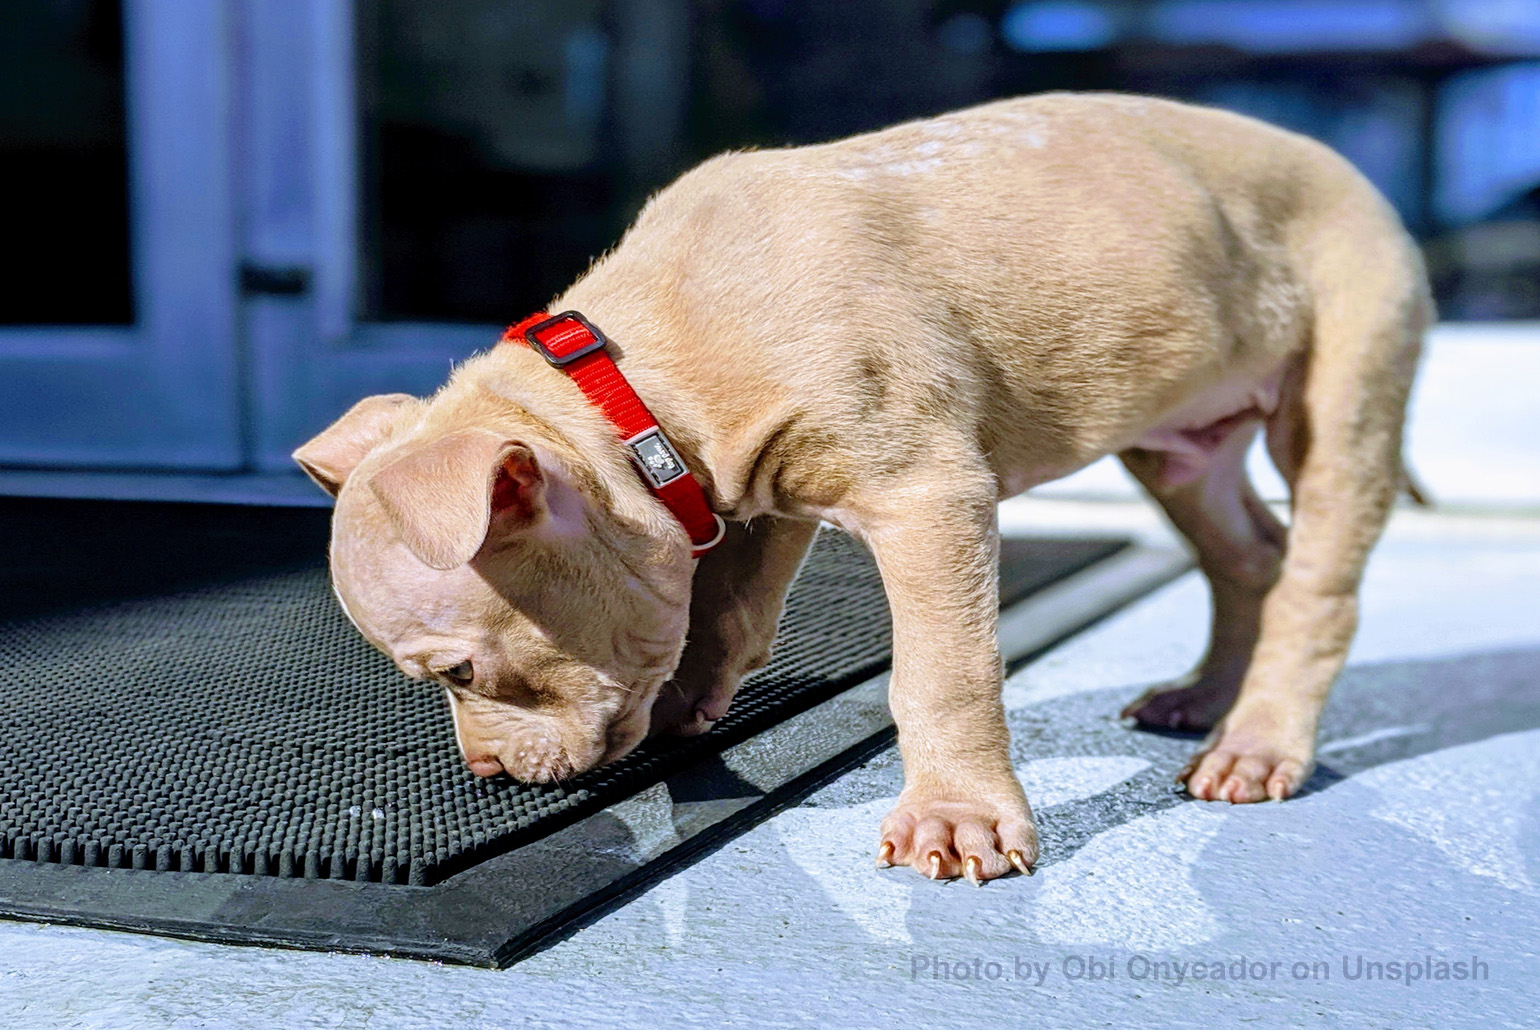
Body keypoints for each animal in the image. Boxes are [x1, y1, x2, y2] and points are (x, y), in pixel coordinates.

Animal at [294, 96, 1422, 886]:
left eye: (461, 673)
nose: (483, 773)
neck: (631, 383)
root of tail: (1355, 176)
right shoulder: (756, 486)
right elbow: (727, 610)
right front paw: (690, 701)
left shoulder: (927, 492)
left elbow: (940, 671)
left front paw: (957, 818)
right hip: (1179, 441)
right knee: (1248, 557)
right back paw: (1204, 699)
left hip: (1345, 381)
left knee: (1316, 582)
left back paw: (1260, 742)